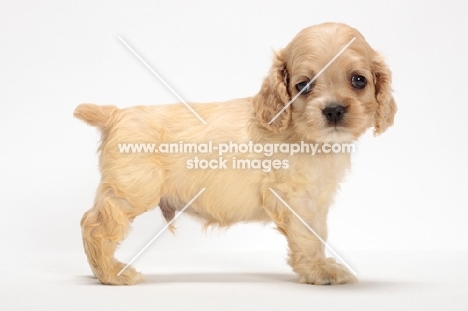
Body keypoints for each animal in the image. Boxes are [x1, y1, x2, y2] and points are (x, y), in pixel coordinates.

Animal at [75, 21, 396, 286]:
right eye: (303, 85)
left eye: (358, 80)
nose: (333, 110)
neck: (303, 134)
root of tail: (116, 114)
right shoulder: (293, 198)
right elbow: (307, 237)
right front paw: (320, 271)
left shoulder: (316, 199)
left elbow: (318, 232)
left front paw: (320, 267)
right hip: (131, 191)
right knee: (94, 225)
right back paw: (112, 274)